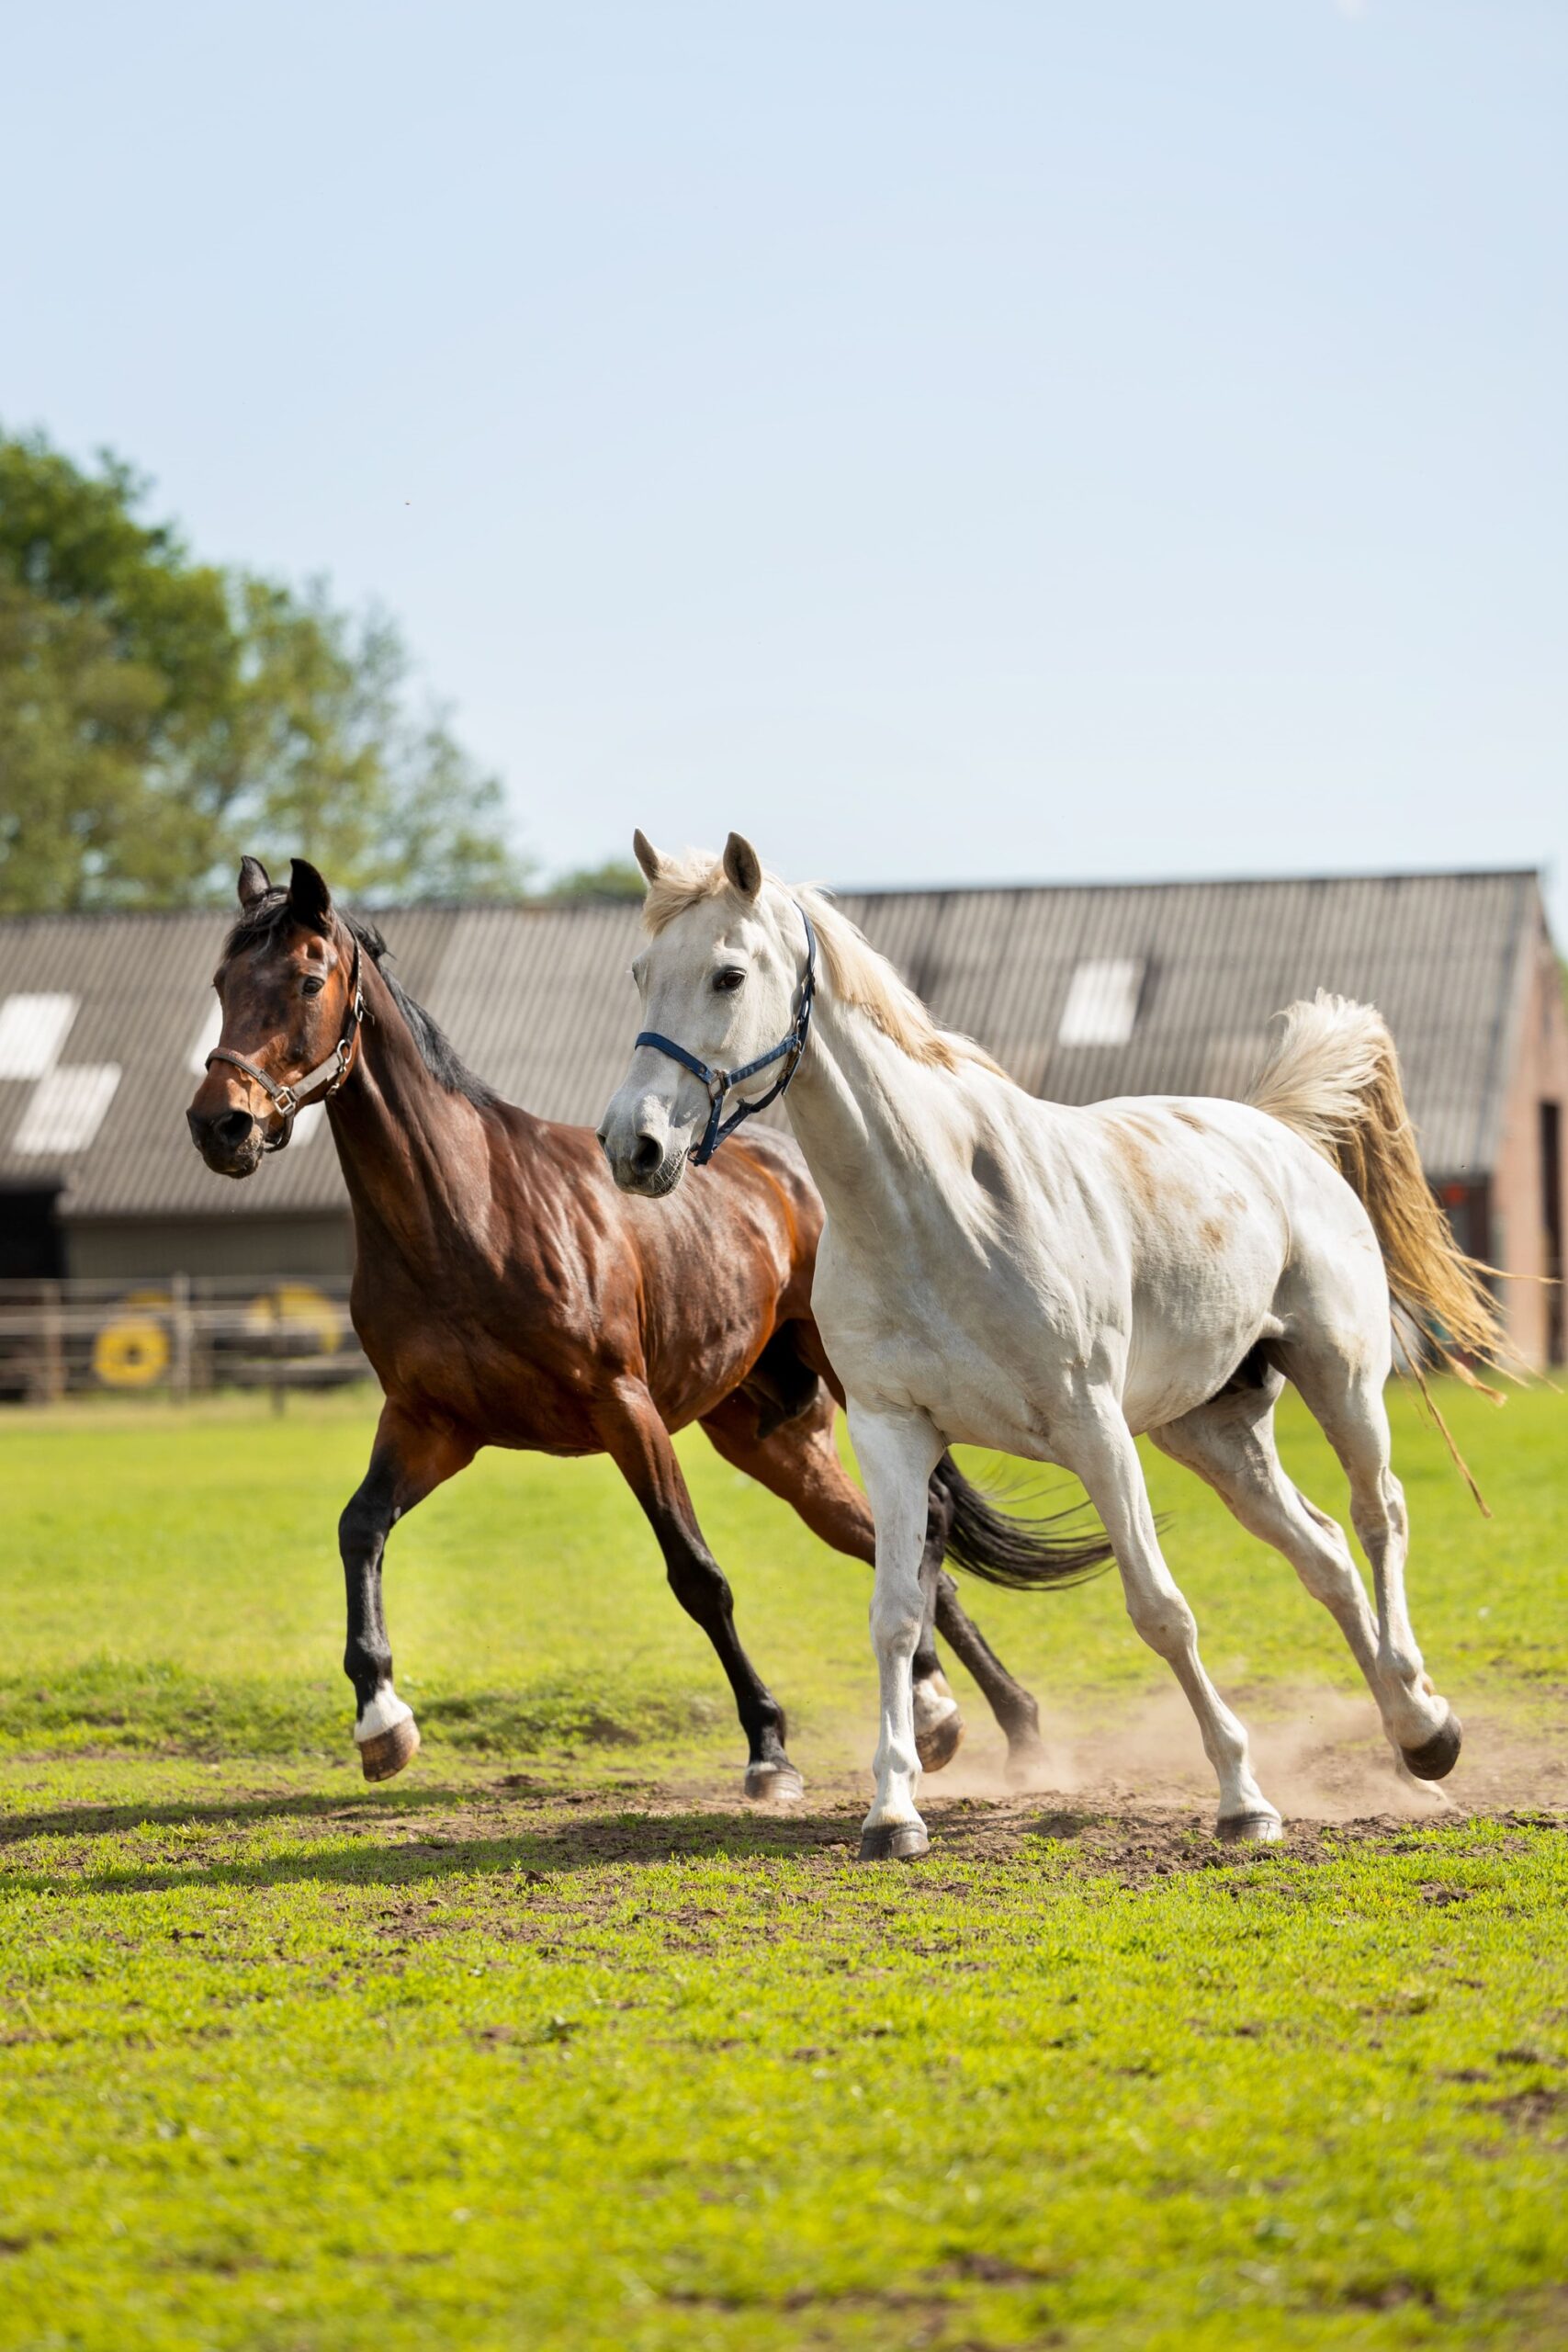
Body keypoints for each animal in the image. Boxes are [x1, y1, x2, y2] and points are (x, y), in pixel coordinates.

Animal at [185, 855, 1101, 1797]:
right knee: (887, 1541)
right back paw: (958, 1715)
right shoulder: (430, 1424)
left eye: (307, 980)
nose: (221, 1124)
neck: (466, 1216)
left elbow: (696, 1576)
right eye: (222, 983)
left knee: (923, 1531)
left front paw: (768, 1749)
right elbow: (359, 1529)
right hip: (772, 1438)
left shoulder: (624, 1409)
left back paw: (988, 1722)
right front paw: (381, 1720)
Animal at [600, 830, 1508, 1857]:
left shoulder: (1092, 1429)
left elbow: (1160, 1610)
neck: (934, 1212)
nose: (631, 1146)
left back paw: (1428, 1726)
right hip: (1213, 1432)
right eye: (641, 972)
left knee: (1376, 1516)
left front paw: (1244, 1800)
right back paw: (1405, 1736)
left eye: (727, 973)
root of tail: (1278, 1133)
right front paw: (893, 1813)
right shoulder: (891, 1433)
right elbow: (896, 1616)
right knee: (1322, 1553)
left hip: (1341, 1381)